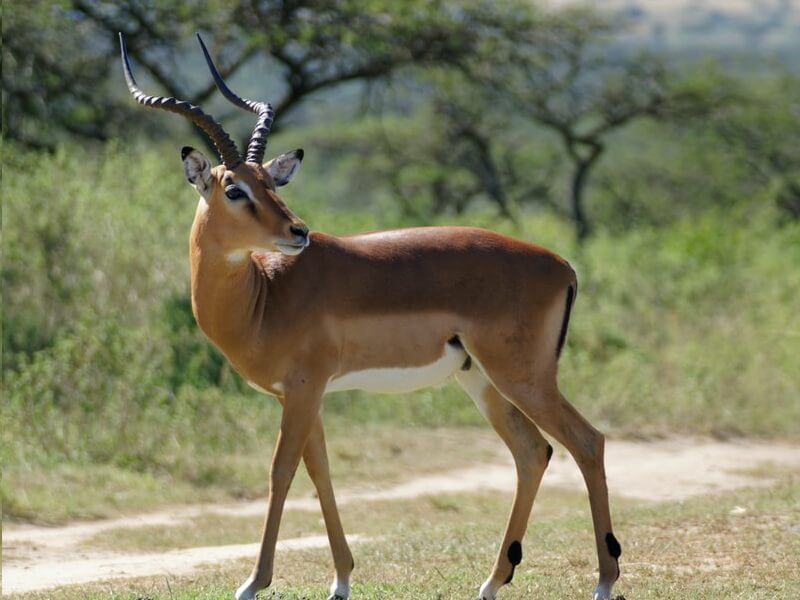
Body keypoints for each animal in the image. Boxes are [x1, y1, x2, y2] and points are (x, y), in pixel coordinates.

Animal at [120, 33, 621, 600]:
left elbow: (280, 471)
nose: (299, 231)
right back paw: (492, 581)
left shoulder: (303, 389)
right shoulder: (303, 394)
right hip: (482, 380)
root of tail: (563, 265)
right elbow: (320, 472)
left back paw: (604, 581)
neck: (265, 296)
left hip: (523, 377)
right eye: (235, 188)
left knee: (588, 441)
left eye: (272, 184)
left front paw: (252, 582)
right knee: (533, 452)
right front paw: (341, 579)